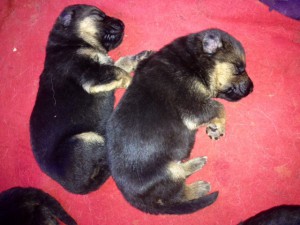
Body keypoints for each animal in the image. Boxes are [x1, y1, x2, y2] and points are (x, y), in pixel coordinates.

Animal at [30, 3, 151, 194]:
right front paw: (136, 81)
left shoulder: (102, 65)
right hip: (86, 138)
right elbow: (119, 71)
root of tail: (79, 188)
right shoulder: (90, 73)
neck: (71, 43)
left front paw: (138, 58)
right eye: (98, 15)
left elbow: (120, 63)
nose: (122, 23)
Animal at [106, 28, 254, 214]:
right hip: (167, 173)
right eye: (239, 69)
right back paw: (199, 187)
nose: (252, 88)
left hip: (171, 168)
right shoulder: (192, 106)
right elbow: (219, 107)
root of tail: (129, 195)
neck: (192, 63)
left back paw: (196, 163)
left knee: (181, 173)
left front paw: (215, 126)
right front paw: (218, 127)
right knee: (179, 194)